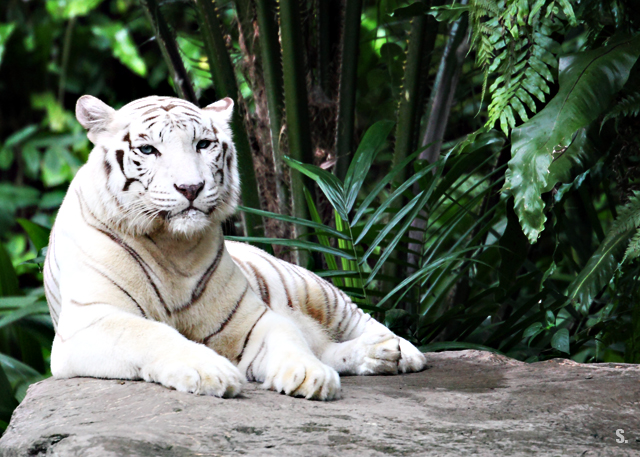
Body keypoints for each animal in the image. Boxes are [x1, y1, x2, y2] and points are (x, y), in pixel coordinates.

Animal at [43, 94, 424, 398]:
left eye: (202, 144)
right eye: (149, 149)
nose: (191, 187)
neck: (172, 246)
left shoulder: (251, 319)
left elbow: (287, 336)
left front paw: (308, 374)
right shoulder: (89, 322)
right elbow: (152, 333)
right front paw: (209, 371)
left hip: (313, 289)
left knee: (356, 318)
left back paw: (400, 352)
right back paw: (376, 356)